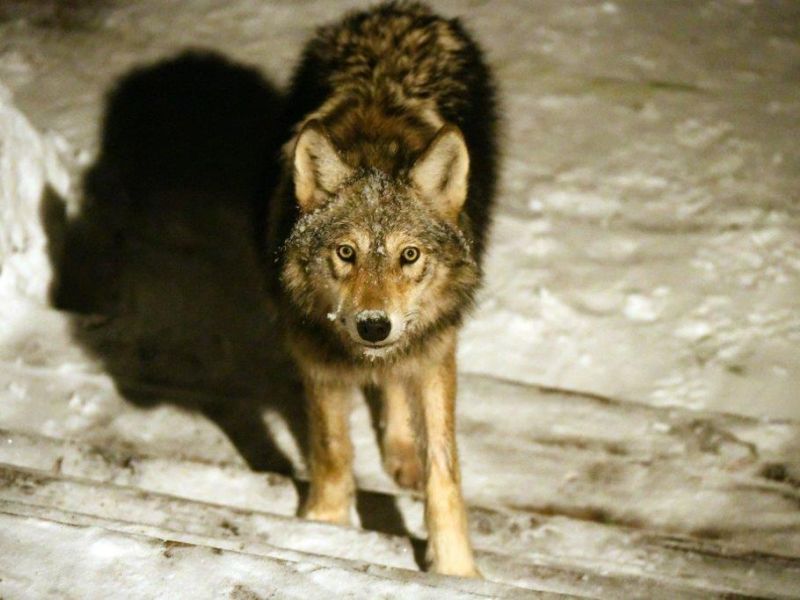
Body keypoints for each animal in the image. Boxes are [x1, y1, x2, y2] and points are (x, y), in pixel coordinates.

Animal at [265, 1, 497, 577]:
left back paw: (401, 453)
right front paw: (324, 528)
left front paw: (456, 569)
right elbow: (332, 450)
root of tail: (399, 12)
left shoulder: (436, 350)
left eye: (408, 255)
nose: (373, 326)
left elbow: (445, 472)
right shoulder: (316, 357)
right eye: (346, 253)